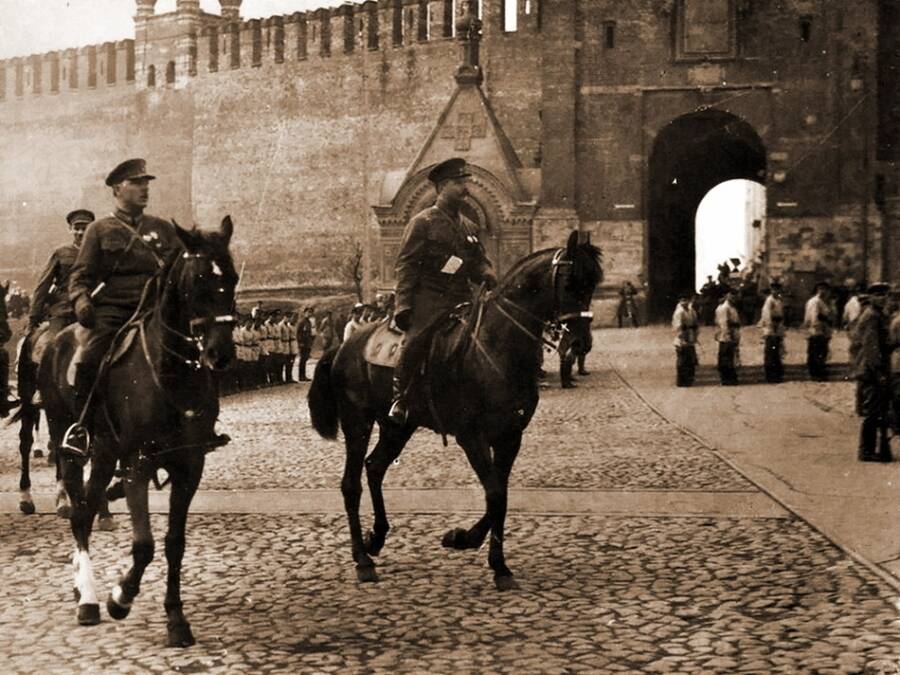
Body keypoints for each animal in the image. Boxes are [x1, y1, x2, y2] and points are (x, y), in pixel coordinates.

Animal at [39, 218, 237, 648]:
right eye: (197, 280)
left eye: (231, 277)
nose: (221, 354)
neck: (170, 373)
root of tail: (56, 338)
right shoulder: (137, 465)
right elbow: (144, 545)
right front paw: (120, 598)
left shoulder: (188, 467)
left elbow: (174, 543)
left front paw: (176, 619)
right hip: (71, 445)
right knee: (77, 512)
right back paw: (89, 600)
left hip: (104, 452)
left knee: (86, 509)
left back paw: (82, 589)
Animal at [306, 232, 600, 592]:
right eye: (570, 282)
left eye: (594, 283)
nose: (579, 344)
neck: (497, 344)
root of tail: (342, 348)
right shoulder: (471, 436)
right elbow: (495, 493)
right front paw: (488, 557)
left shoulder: (510, 436)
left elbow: (500, 495)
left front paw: (470, 544)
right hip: (357, 423)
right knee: (351, 484)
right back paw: (362, 559)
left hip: (398, 426)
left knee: (374, 467)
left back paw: (376, 538)